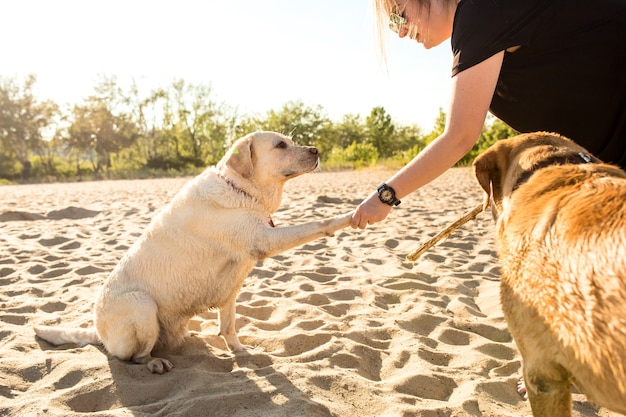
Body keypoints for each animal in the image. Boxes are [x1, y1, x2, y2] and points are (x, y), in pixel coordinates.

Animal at [35, 132, 352, 372]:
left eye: (291, 141)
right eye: (280, 145)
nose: (316, 149)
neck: (240, 190)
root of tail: (98, 333)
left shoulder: (232, 284)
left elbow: (229, 325)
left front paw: (239, 351)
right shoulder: (265, 240)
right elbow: (317, 224)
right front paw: (350, 216)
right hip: (141, 305)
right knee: (134, 356)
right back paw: (154, 363)